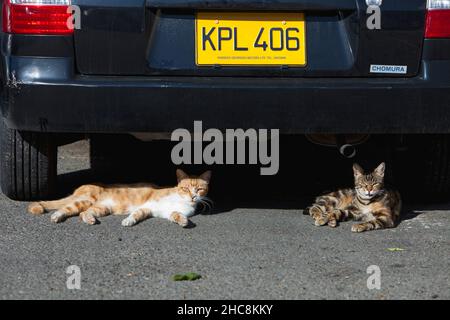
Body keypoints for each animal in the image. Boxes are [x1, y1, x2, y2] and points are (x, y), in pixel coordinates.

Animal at [27, 170, 212, 228]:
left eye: (199, 189)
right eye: (185, 188)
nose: (193, 196)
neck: (180, 200)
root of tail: (81, 187)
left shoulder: (162, 211)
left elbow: (176, 215)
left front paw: (183, 221)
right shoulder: (148, 205)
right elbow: (135, 214)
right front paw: (128, 221)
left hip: (102, 208)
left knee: (83, 213)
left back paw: (90, 219)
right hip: (85, 200)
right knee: (64, 208)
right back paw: (56, 216)